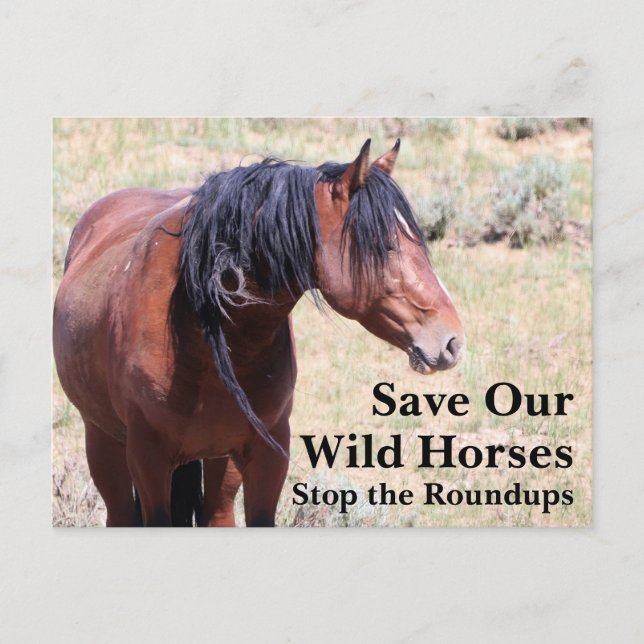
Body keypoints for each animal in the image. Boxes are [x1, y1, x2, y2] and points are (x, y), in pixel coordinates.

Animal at [53, 138, 465, 527]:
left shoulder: (267, 452)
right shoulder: (148, 456)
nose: (451, 341)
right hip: (104, 442)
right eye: (384, 245)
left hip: (219, 460)